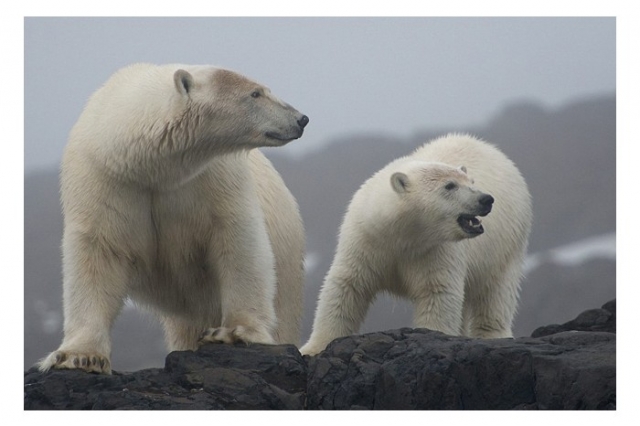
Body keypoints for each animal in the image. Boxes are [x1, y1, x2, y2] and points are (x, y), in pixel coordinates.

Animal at [37, 62, 310, 372]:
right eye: (255, 93)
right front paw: (78, 356)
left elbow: (238, 240)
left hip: (288, 264)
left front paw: (234, 332)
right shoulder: (104, 180)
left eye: (262, 89)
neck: (150, 167)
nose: (301, 119)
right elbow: (98, 253)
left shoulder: (215, 178)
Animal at [302, 133, 532, 356]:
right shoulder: (365, 240)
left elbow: (438, 292)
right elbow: (346, 286)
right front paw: (313, 348)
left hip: (508, 242)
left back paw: (492, 334)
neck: (404, 236)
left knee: (496, 290)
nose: (486, 199)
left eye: (472, 181)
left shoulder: (437, 250)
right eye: (450, 185)